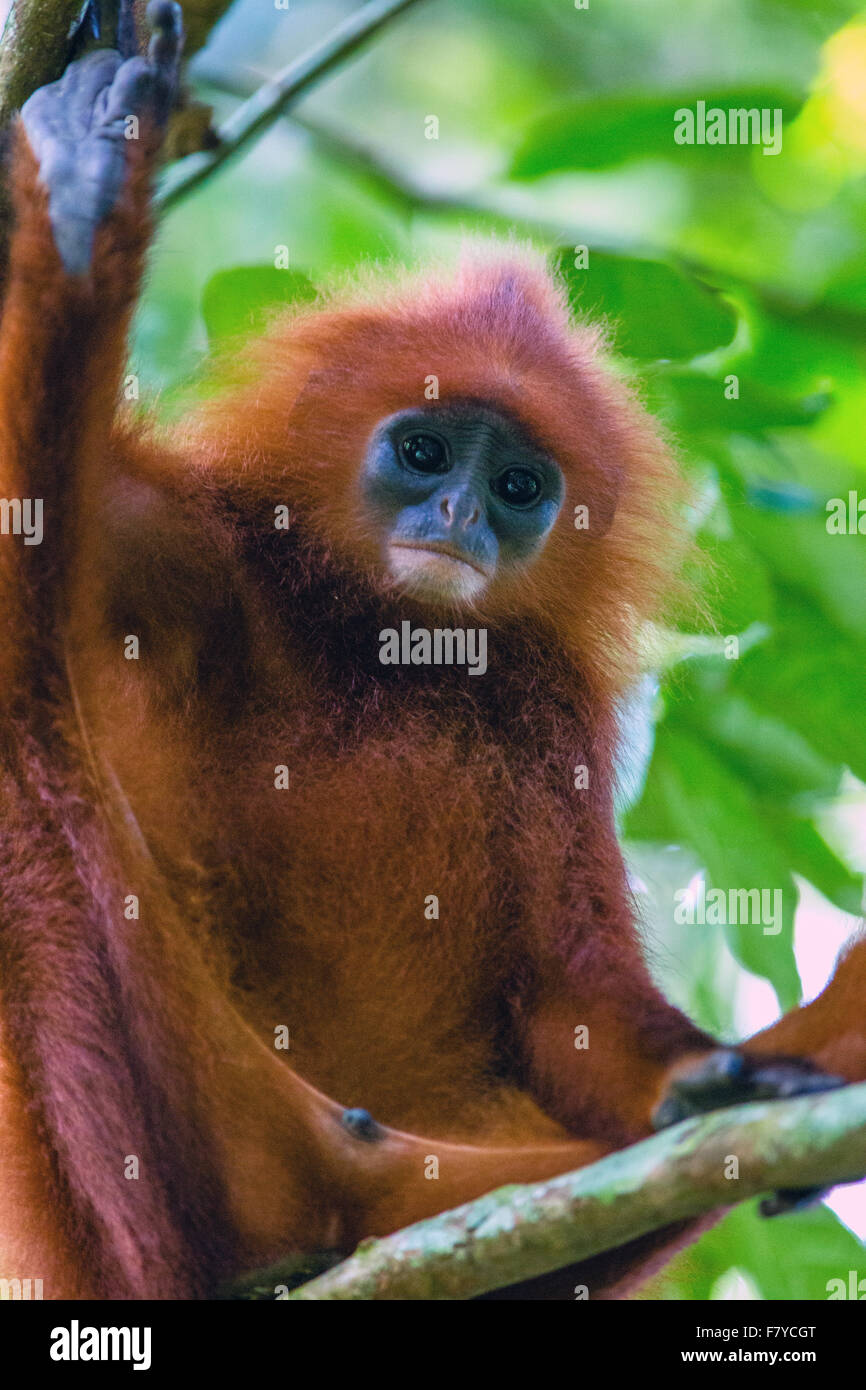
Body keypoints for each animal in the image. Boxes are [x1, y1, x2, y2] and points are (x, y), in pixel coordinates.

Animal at [0, 2, 861, 1301]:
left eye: (515, 485)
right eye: (422, 452)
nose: (457, 515)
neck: (380, 638)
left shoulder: (553, 711)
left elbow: (568, 1003)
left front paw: (698, 1077)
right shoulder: (189, 546)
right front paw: (90, 187)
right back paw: (86, 199)